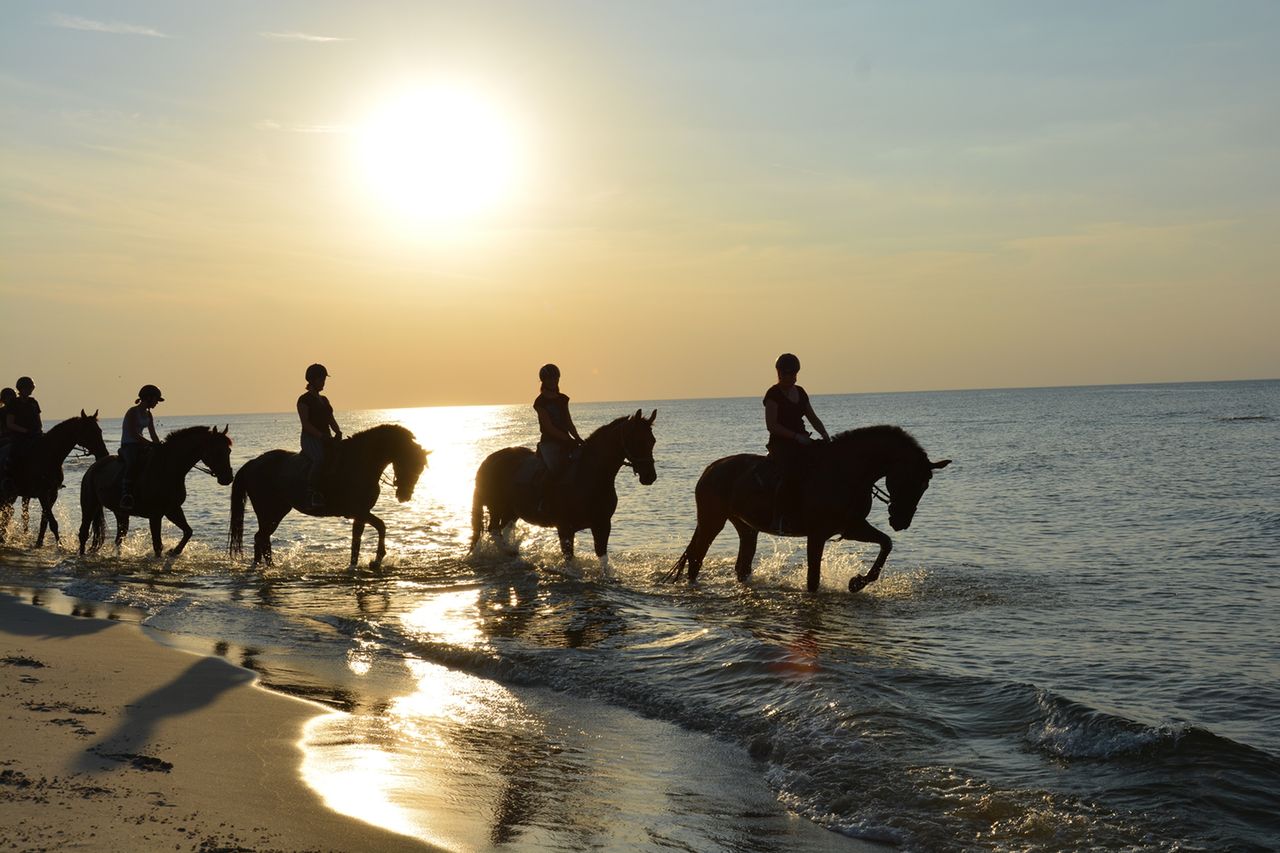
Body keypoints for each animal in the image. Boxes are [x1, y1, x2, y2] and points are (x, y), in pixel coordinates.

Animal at [0, 409, 108, 545]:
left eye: (99, 431)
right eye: (89, 432)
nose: (104, 453)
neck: (48, 455)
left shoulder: (52, 493)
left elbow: (45, 521)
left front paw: (39, 543)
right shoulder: (41, 493)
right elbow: (53, 522)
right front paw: (60, 545)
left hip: (11, 494)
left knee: (6, 513)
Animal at [77, 425, 236, 558]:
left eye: (228, 451)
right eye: (217, 451)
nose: (227, 478)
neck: (168, 468)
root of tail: (93, 468)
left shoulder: (172, 509)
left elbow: (188, 531)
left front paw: (175, 551)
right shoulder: (155, 515)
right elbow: (157, 545)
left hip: (121, 513)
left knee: (119, 538)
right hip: (89, 505)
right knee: (83, 533)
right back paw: (81, 556)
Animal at [227, 422, 427, 568]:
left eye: (420, 467)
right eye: (408, 462)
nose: (404, 496)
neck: (360, 461)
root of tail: (253, 463)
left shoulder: (362, 513)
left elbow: (369, 533)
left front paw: (367, 562)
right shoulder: (359, 512)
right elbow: (371, 532)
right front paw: (369, 562)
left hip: (277, 511)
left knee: (262, 538)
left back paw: (262, 566)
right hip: (269, 511)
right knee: (261, 538)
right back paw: (267, 567)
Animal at [468, 409, 655, 568]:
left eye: (652, 441)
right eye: (637, 440)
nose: (650, 476)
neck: (589, 476)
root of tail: (489, 460)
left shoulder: (602, 524)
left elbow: (603, 558)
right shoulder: (565, 527)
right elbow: (569, 558)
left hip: (511, 511)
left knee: (504, 530)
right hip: (496, 507)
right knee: (494, 531)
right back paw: (509, 551)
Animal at [660, 422, 952, 591]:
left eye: (925, 485)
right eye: (910, 480)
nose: (901, 521)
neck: (846, 472)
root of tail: (710, 469)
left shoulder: (851, 527)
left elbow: (886, 544)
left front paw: (858, 582)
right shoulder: (817, 534)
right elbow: (813, 579)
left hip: (746, 527)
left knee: (741, 564)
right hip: (712, 521)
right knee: (696, 558)